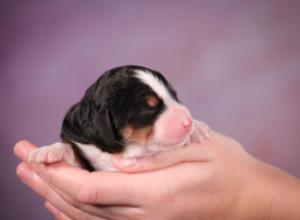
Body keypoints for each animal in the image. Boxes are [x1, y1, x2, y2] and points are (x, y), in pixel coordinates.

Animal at [29, 64, 210, 171]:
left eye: (174, 95)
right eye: (148, 108)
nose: (188, 122)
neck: (126, 152)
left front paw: (198, 128)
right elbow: (73, 152)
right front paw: (48, 150)